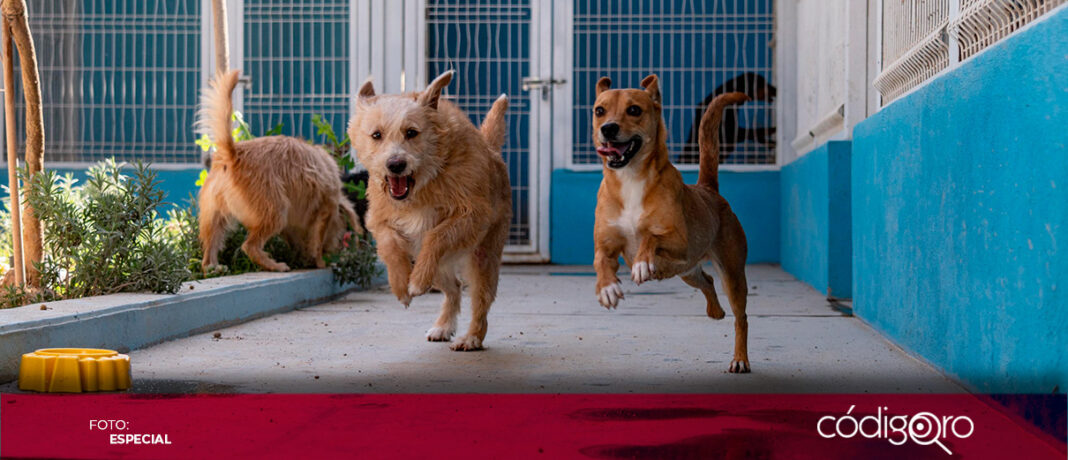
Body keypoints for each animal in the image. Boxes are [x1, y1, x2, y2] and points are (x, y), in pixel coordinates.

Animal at [199, 70, 363, 273]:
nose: (336, 247)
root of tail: (233, 153)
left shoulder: (292, 225)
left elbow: (298, 241)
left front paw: (304, 257)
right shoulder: (324, 209)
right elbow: (316, 241)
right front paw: (319, 262)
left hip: (216, 218)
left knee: (209, 252)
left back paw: (214, 268)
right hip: (275, 211)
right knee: (250, 246)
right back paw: (275, 265)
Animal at [350, 70, 512, 352]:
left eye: (412, 132)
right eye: (376, 135)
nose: (395, 164)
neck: (424, 185)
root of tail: (492, 150)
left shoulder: (472, 215)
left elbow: (436, 235)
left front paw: (414, 282)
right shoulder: (379, 219)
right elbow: (390, 244)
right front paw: (401, 285)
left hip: (483, 256)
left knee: (480, 299)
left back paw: (472, 337)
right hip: (434, 265)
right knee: (454, 287)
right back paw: (443, 326)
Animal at [589, 73, 756, 373]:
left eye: (634, 110)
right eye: (600, 111)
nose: (608, 129)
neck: (630, 178)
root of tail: (708, 189)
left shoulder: (681, 242)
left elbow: (650, 237)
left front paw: (642, 263)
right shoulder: (605, 245)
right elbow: (600, 262)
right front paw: (607, 288)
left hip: (732, 273)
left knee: (741, 317)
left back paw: (740, 359)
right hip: (688, 271)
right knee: (707, 279)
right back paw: (715, 311)